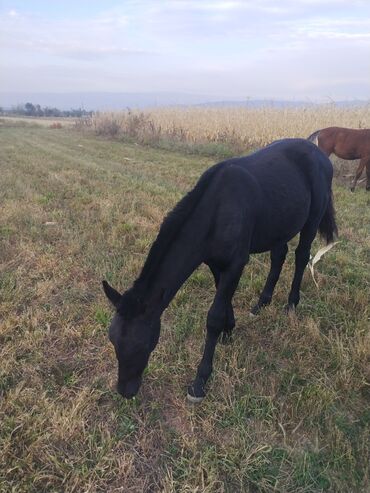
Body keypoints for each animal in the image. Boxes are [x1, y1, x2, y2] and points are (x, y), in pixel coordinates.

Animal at [102, 137, 336, 400]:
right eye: (113, 340)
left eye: (142, 345)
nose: (126, 391)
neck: (217, 210)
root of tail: (321, 155)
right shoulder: (215, 263)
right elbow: (224, 300)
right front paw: (229, 331)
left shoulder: (236, 264)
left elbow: (213, 317)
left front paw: (200, 381)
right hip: (280, 223)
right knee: (279, 255)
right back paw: (261, 303)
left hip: (312, 220)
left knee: (301, 256)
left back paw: (291, 305)